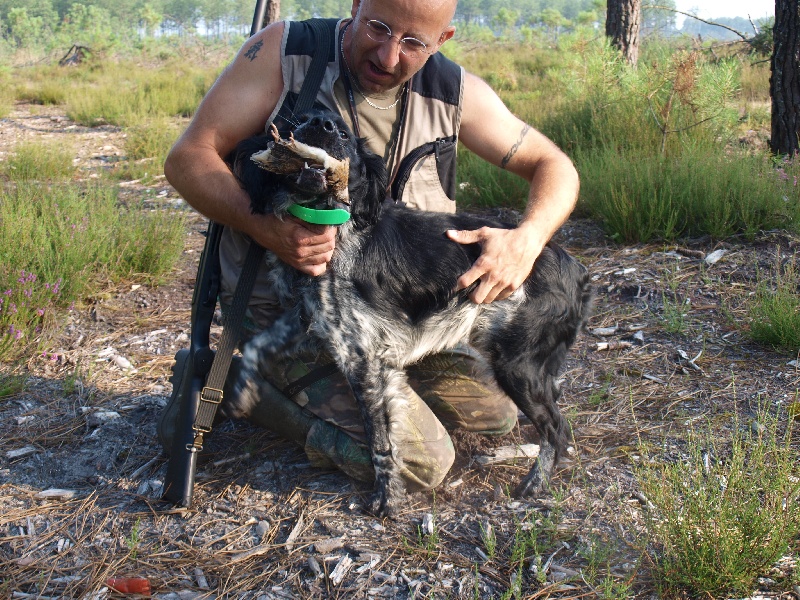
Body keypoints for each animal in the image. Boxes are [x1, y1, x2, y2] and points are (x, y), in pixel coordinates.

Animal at [228, 111, 592, 516]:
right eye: (300, 120)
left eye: (344, 134)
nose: (322, 124)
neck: (331, 223)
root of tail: (575, 268)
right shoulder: (310, 319)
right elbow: (255, 346)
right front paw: (241, 392)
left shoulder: (364, 360)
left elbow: (380, 442)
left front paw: (387, 499)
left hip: (518, 366)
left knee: (557, 429)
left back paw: (535, 484)